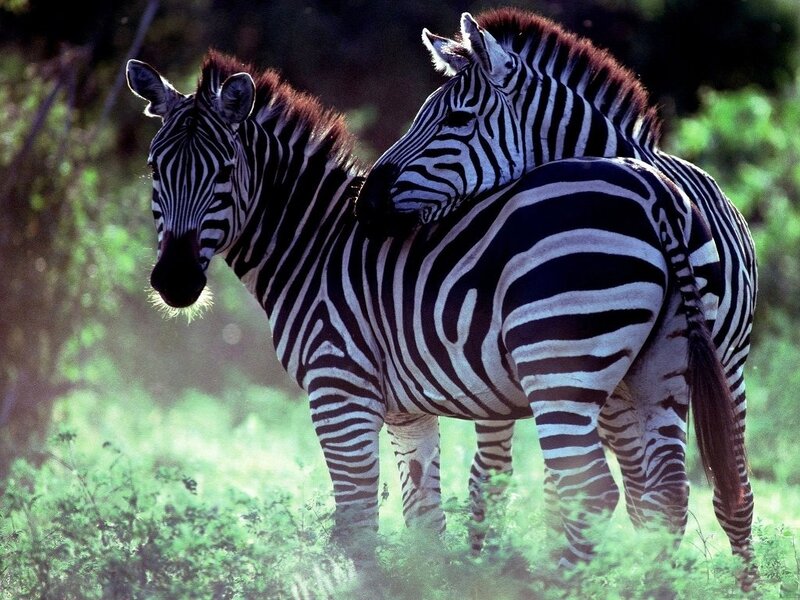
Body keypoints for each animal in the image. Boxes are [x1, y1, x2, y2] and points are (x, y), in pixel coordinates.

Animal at [126, 51, 741, 571]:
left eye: (225, 170)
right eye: (155, 169)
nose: (175, 282)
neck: (314, 246)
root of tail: (653, 189)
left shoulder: (339, 391)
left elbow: (356, 524)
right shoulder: (406, 412)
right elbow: (424, 520)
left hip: (560, 366)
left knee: (591, 490)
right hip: (661, 370)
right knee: (665, 495)